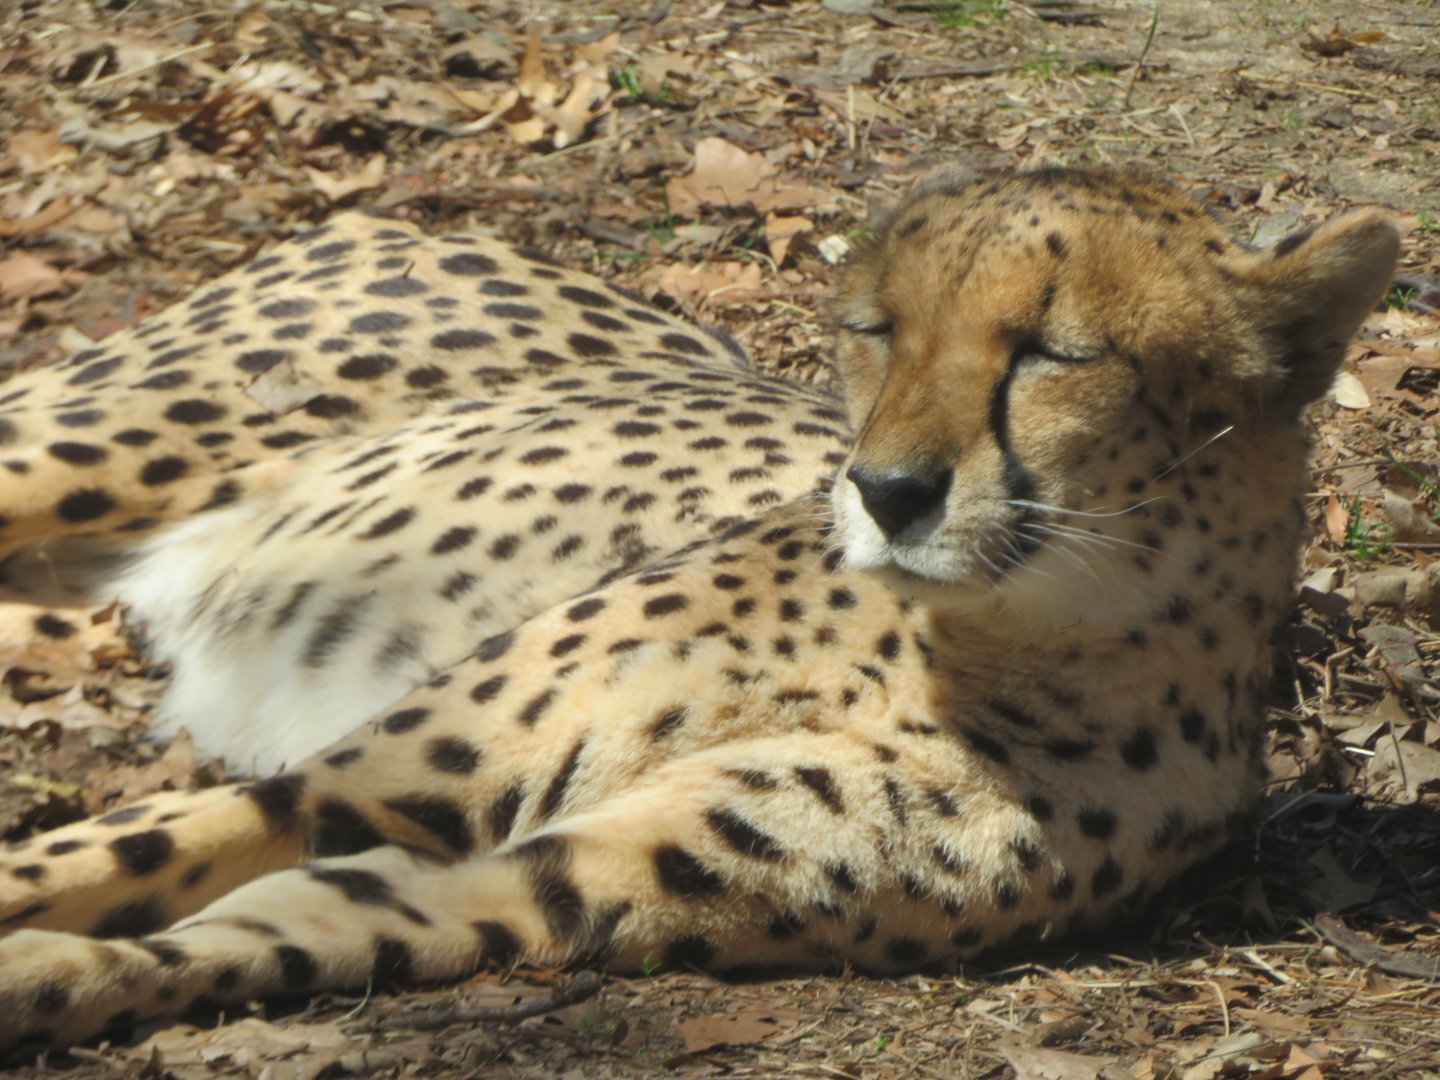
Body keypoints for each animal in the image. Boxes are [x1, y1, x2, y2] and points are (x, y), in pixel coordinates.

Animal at [0, 166, 1398, 1057]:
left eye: (1054, 353)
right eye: (876, 331)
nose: (888, 491)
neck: (963, 643)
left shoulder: (532, 886)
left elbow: (231, 937)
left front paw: (48, 981)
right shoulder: (370, 778)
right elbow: (103, 859)